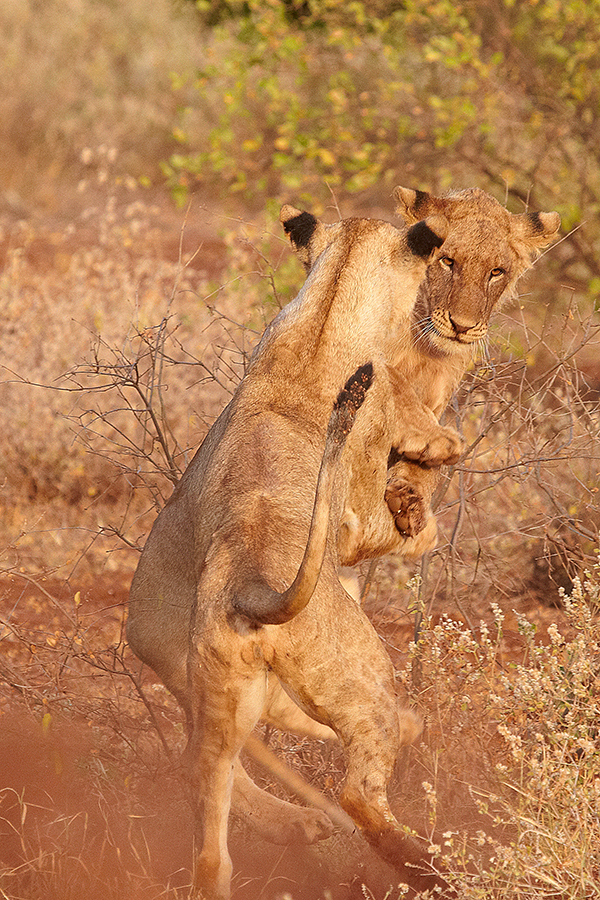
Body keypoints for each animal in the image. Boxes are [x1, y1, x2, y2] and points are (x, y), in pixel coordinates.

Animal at [127, 186, 564, 896]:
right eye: (445, 262)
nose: (460, 325)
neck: (323, 318)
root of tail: (247, 586)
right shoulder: (364, 509)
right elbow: (426, 478)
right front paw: (426, 482)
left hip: (219, 690)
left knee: (213, 802)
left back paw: (301, 825)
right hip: (361, 676)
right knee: (358, 787)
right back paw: (425, 861)